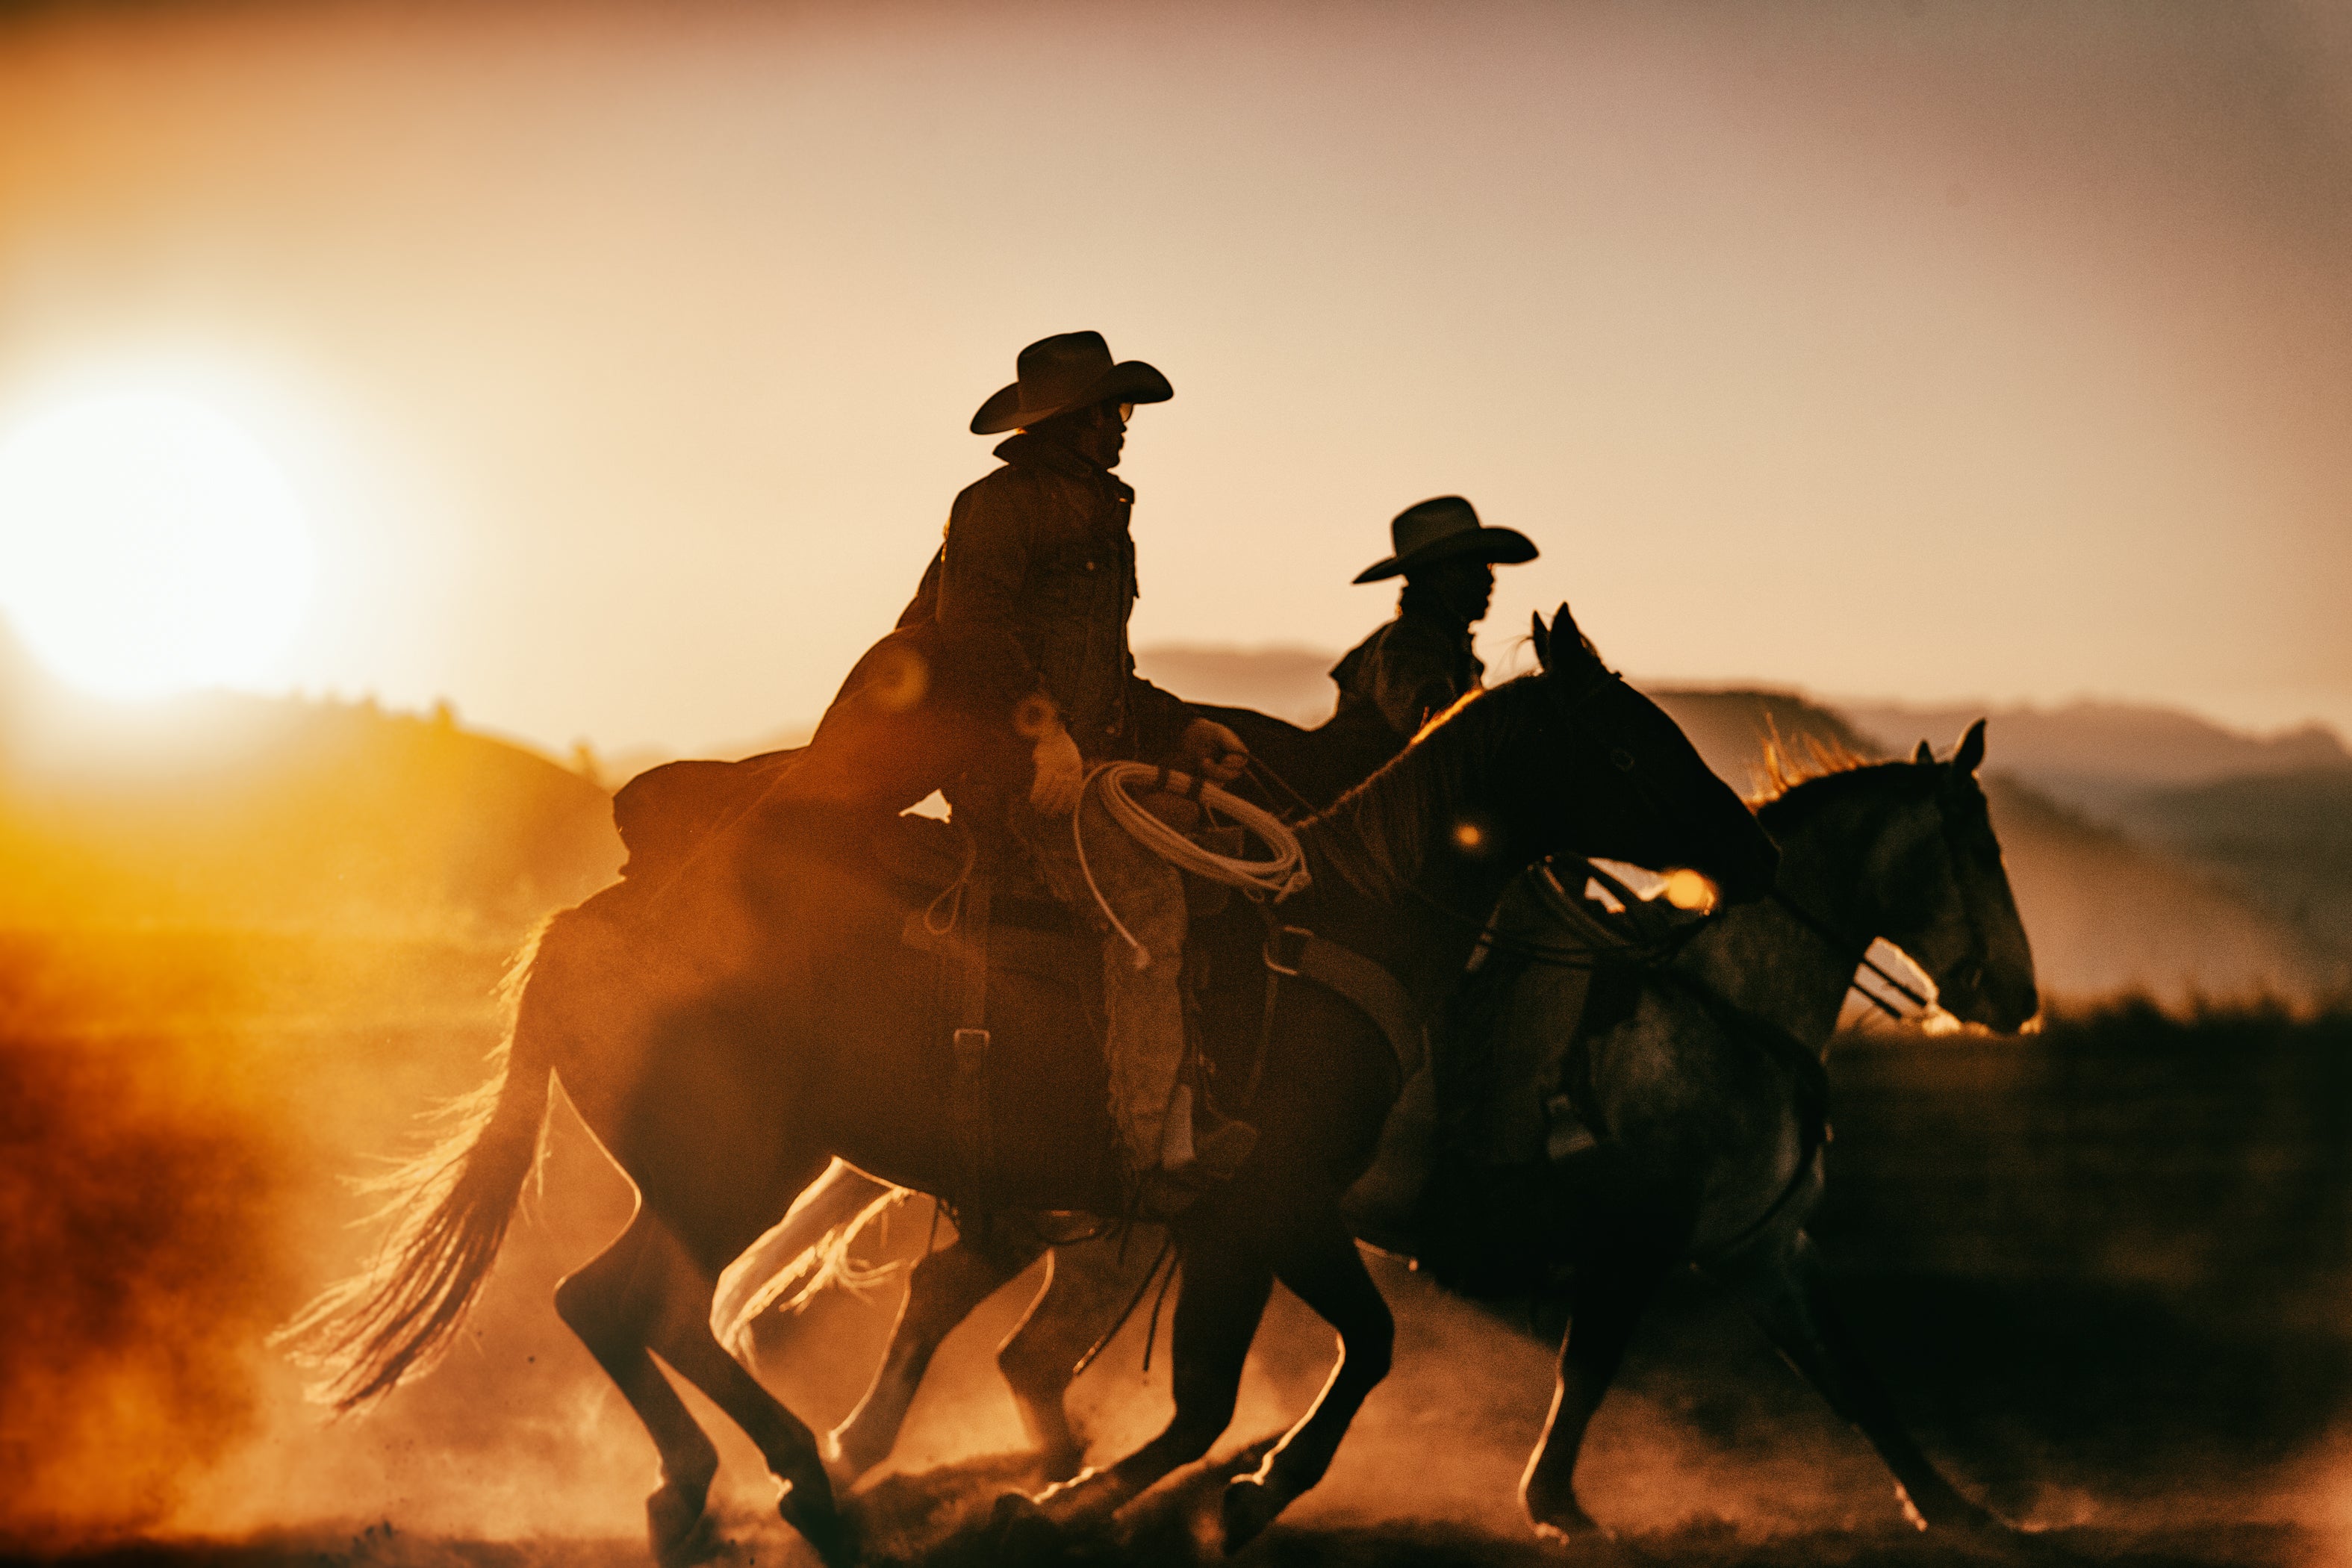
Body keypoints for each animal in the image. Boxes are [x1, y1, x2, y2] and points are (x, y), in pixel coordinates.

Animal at [284, 606, 1768, 1568]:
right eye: (1627, 748)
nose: (1744, 847)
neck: (1348, 920)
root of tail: (592, 919)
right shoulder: (1273, 1210)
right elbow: (1326, 1361)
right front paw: (1211, 1496)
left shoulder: (1235, 1223)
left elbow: (1225, 1392)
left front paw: (1101, 1497)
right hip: (728, 1169)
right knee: (639, 1305)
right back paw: (799, 1483)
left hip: (731, 1174)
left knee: (627, 1307)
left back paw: (720, 1488)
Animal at [715, 719, 2041, 1542]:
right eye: (1977, 848)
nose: (2014, 997)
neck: (1721, 1007)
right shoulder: (1638, 1244)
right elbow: (1589, 1370)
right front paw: (1553, 1503)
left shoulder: (1761, 1253)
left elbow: (1854, 1379)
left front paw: (1961, 1511)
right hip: (1094, 1218)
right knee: (972, 1316)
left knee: (983, 1323)